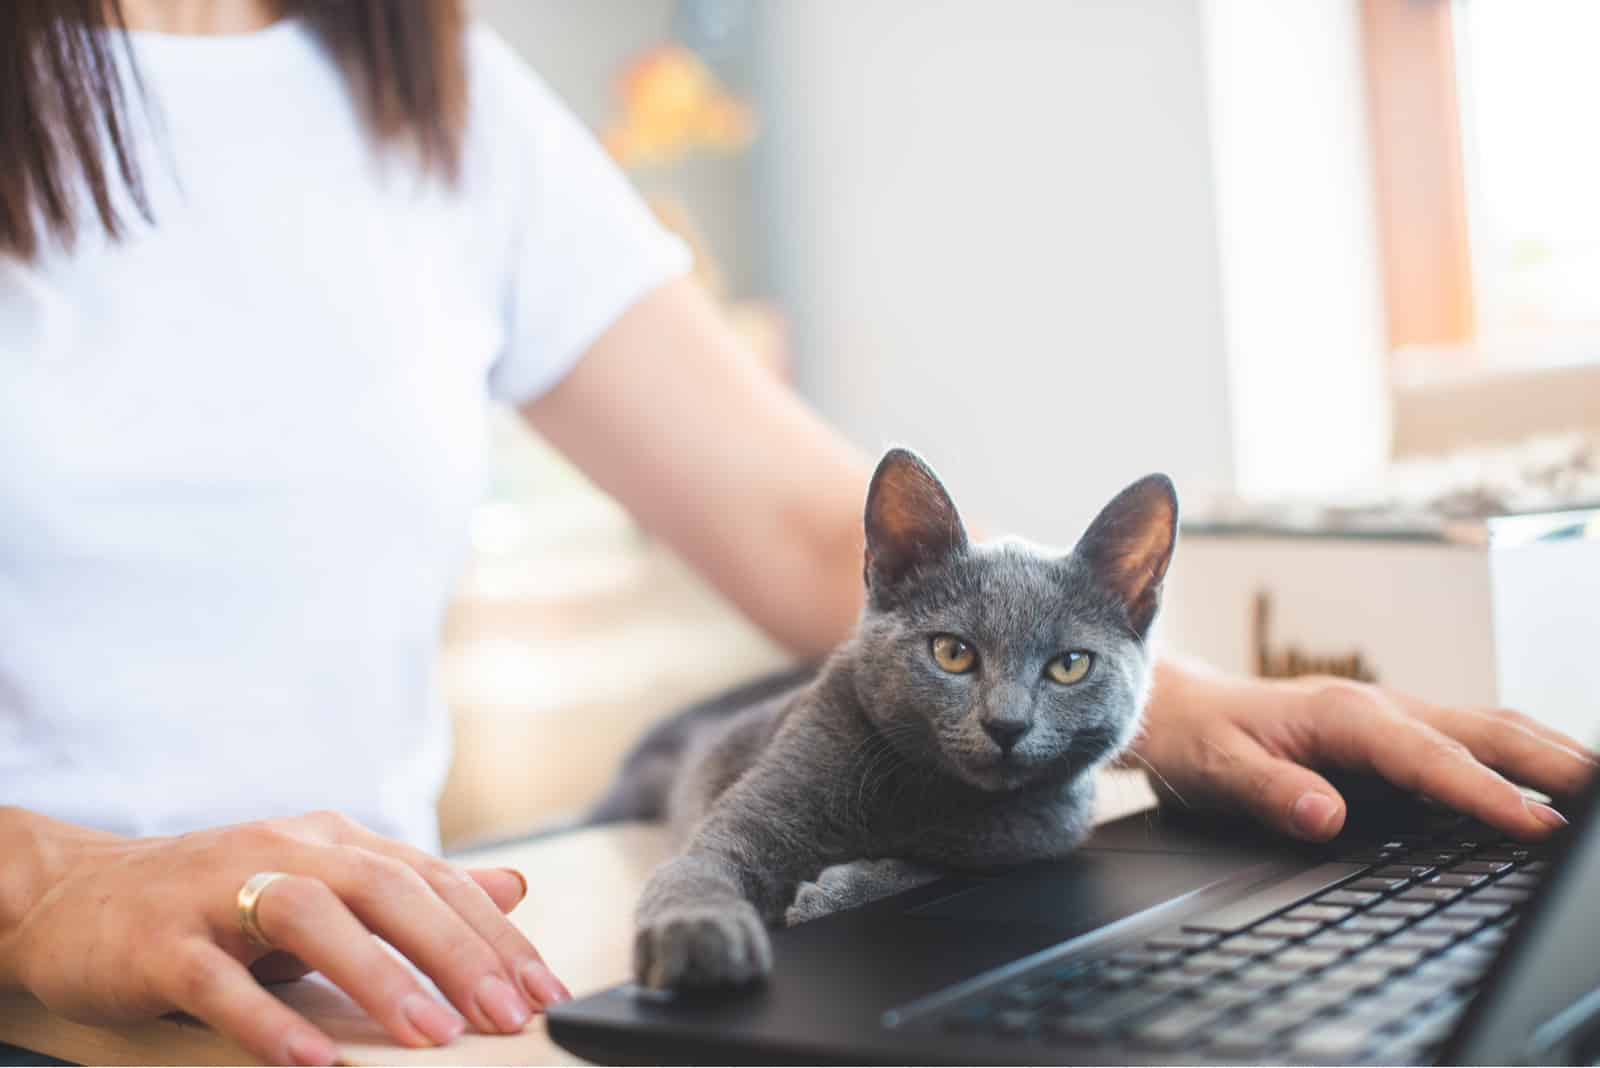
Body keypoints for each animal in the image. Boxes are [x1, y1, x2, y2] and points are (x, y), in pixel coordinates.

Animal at [595, 447, 1184, 991]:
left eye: (1069, 665)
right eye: (953, 652)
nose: (1006, 724)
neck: (927, 794)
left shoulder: (1031, 843)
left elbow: (929, 869)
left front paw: (834, 892)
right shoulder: (749, 816)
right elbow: (702, 863)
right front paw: (700, 932)